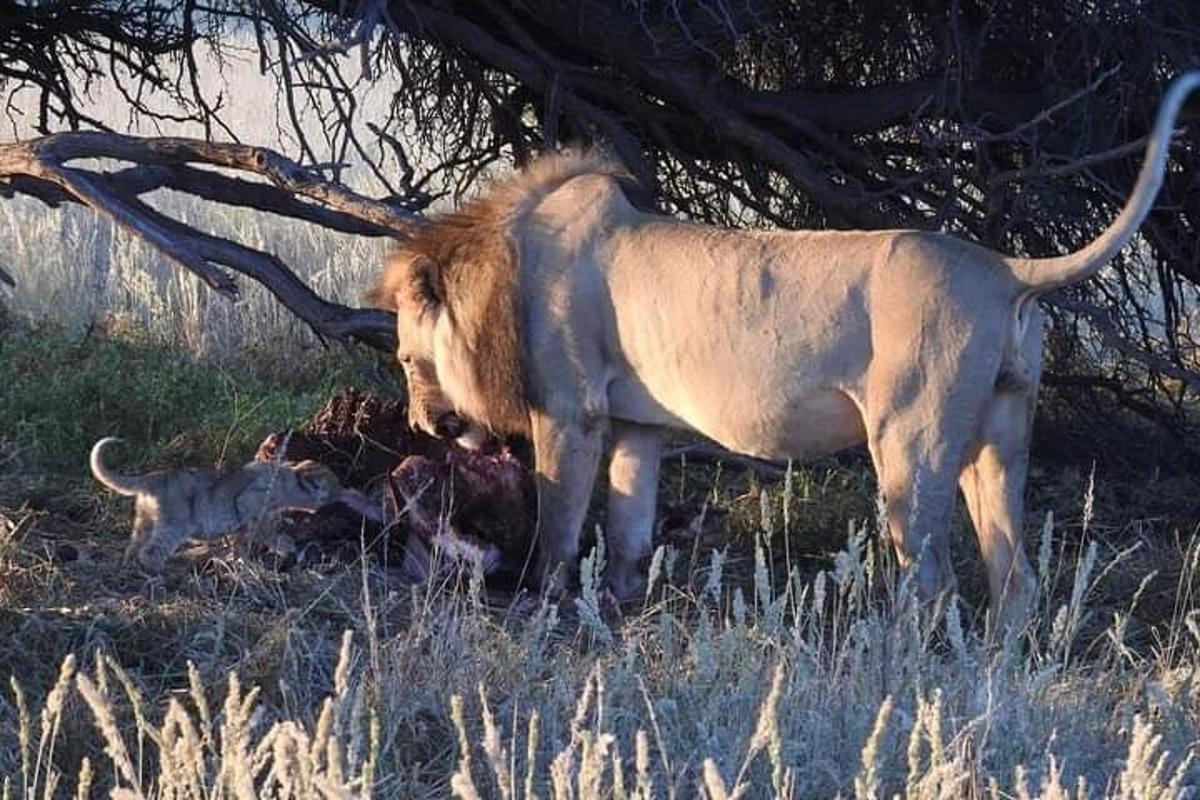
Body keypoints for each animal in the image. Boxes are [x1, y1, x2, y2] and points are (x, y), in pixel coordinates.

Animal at [372, 71, 1200, 628]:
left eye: (409, 360)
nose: (421, 425)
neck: (506, 263)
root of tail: (1005, 269)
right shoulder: (637, 425)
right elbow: (629, 532)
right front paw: (621, 611)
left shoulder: (571, 411)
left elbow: (557, 526)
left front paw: (545, 611)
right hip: (998, 434)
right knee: (1013, 575)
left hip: (909, 437)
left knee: (930, 580)